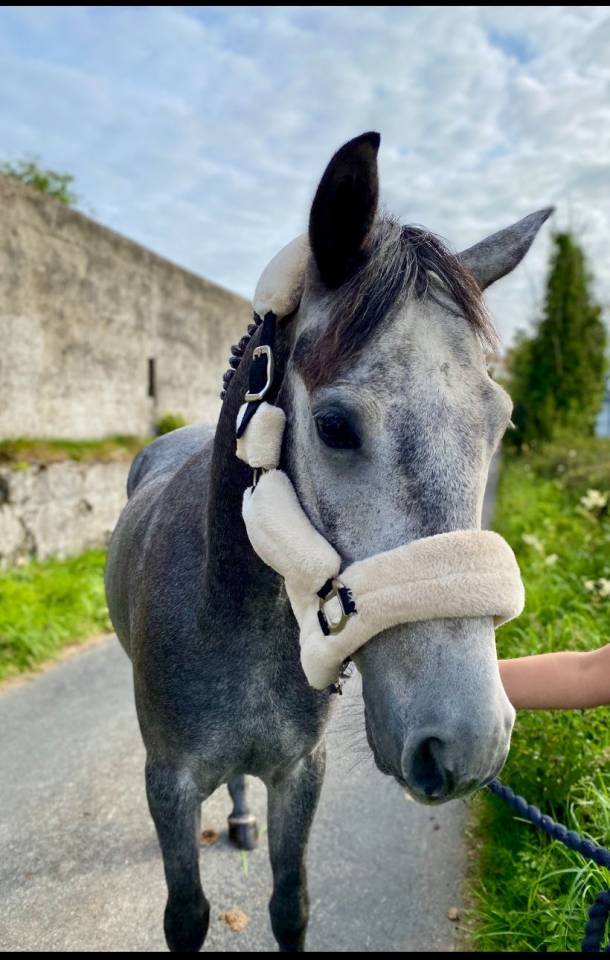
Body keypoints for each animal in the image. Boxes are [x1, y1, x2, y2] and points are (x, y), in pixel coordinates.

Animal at [105, 131, 551, 953]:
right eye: (335, 427)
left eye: (500, 421)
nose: (467, 741)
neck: (233, 616)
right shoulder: (168, 784)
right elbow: (187, 914)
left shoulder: (299, 774)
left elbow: (291, 902)